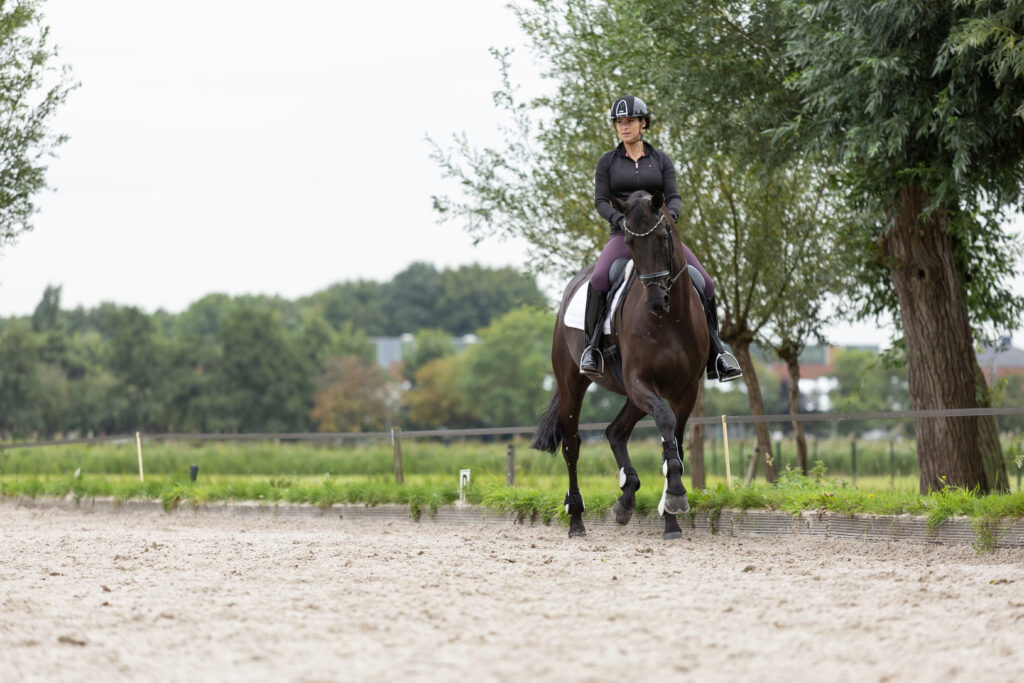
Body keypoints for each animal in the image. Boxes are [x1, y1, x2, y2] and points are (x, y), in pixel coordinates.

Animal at [532, 190, 710, 539]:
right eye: (628, 242)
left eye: (663, 236)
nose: (656, 300)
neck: (670, 320)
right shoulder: (640, 381)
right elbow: (665, 423)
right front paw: (676, 497)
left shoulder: (685, 390)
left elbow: (675, 443)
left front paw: (671, 516)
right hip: (573, 385)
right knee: (572, 446)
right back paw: (576, 518)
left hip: (635, 396)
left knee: (615, 431)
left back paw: (626, 499)